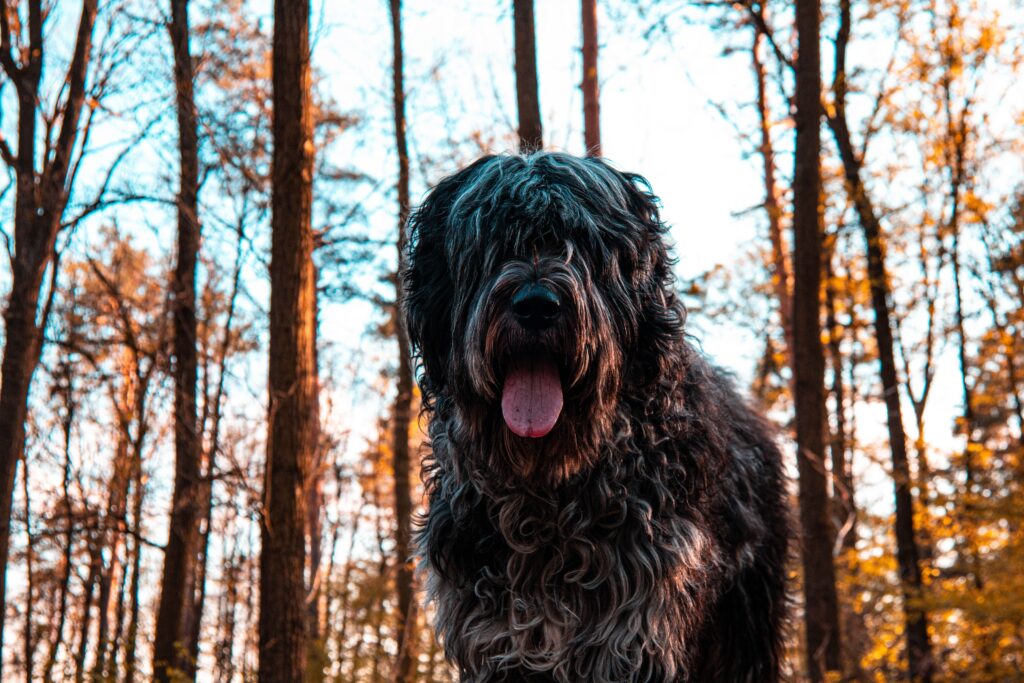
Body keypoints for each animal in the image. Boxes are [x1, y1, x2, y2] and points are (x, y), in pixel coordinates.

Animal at [401, 152, 790, 679]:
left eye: (583, 244)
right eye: (493, 243)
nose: (536, 305)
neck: (547, 492)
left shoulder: (634, 630)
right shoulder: (493, 636)